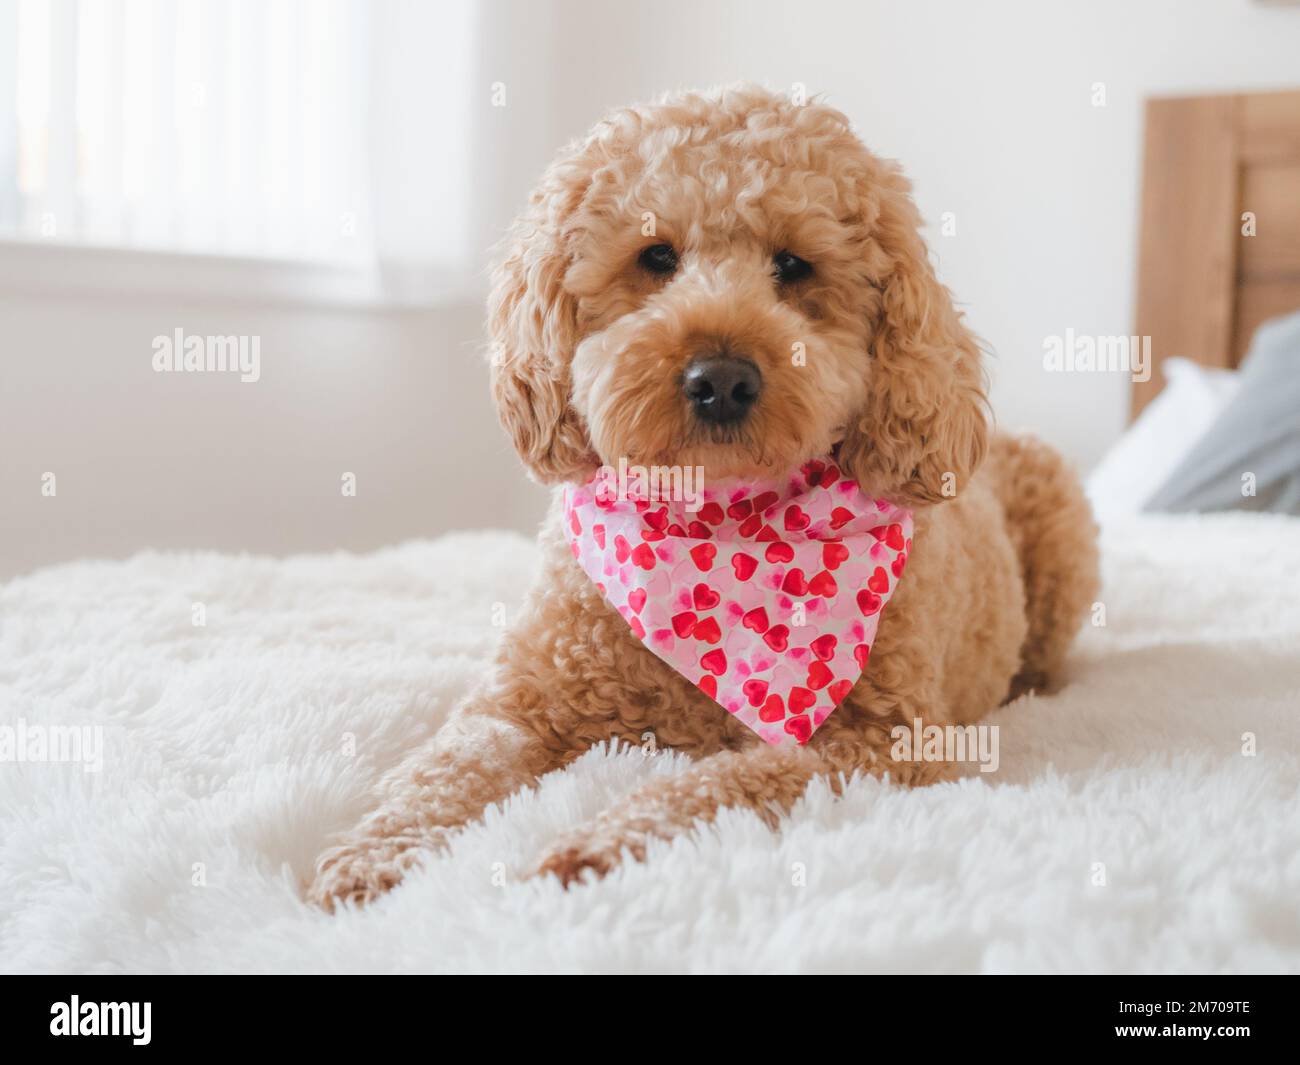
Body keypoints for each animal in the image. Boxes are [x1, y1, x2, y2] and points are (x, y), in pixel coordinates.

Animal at [309, 87, 1102, 910]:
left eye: (794, 265)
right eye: (656, 257)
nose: (721, 378)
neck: (714, 521)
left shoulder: (881, 743)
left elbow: (716, 787)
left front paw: (597, 846)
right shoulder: (523, 700)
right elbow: (449, 768)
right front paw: (375, 853)